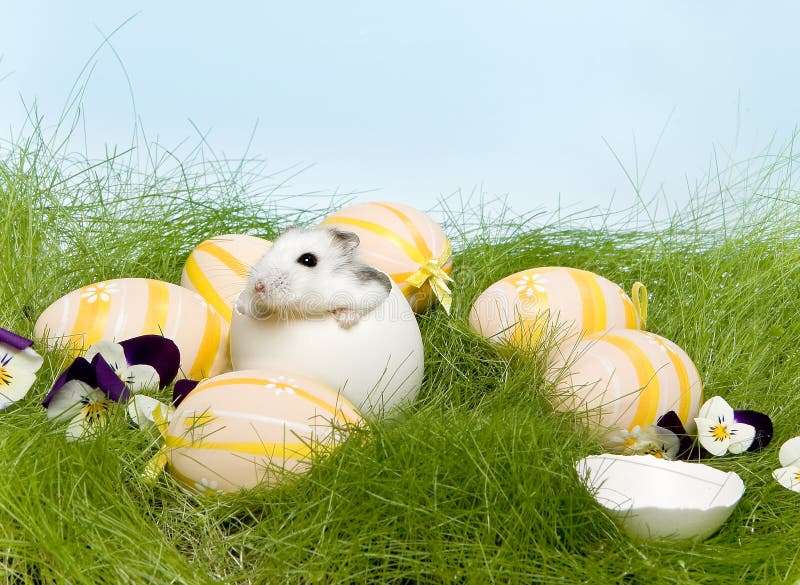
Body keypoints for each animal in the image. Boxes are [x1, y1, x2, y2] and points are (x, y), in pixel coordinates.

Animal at [235, 226, 393, 328]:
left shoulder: (374, 290)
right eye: (268, 251)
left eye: (308, 260)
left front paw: (343, 320)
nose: (258, 286)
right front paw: (242, 308)